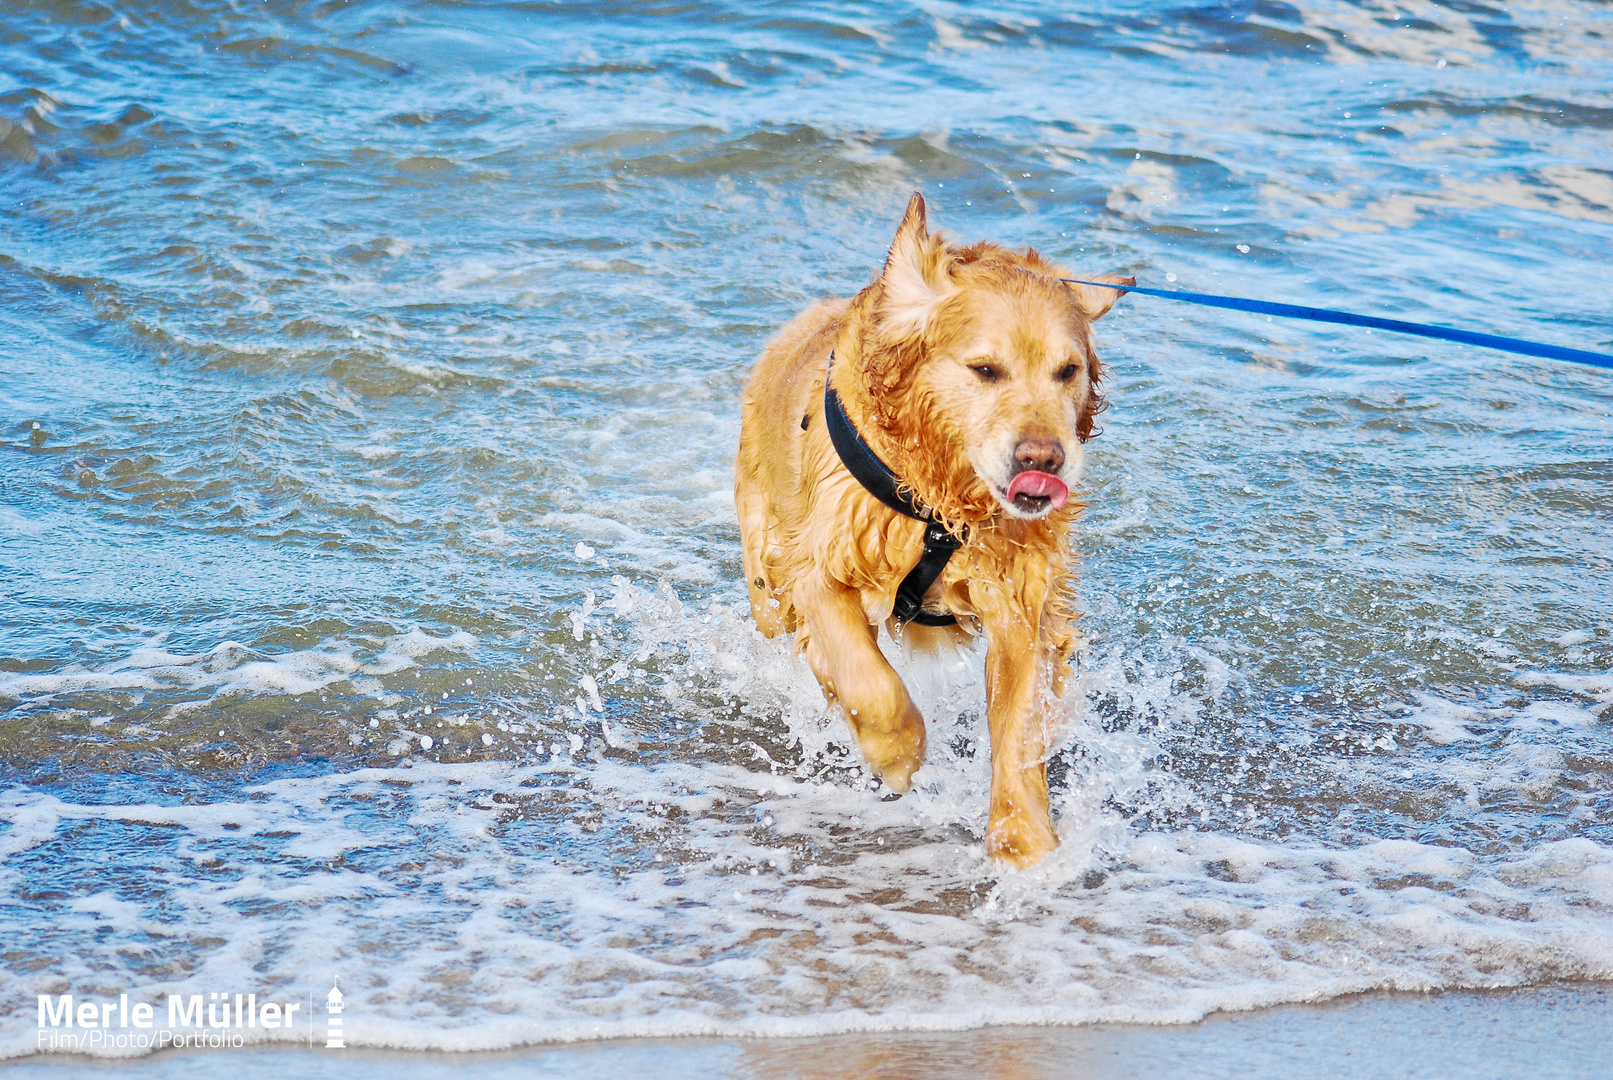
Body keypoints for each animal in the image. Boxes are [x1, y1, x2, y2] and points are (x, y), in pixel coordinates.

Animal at [738, 196, 1129, 870]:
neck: (944, 499)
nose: (1044, 460)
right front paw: (897, 757)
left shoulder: (1021, 602)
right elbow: (871, 683)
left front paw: (1025, 845)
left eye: (1068, 370)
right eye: (985, 369)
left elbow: (1020, 724)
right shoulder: (821, 569)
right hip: (768, 579)